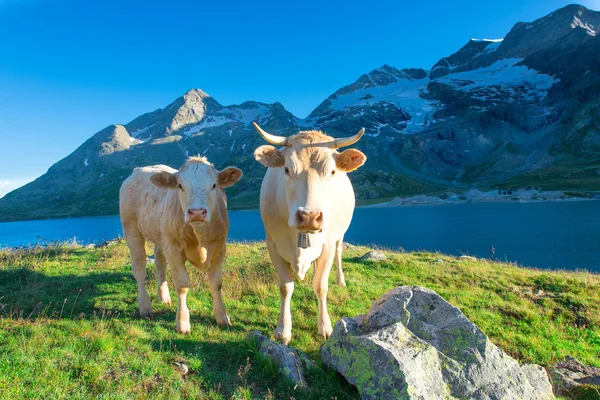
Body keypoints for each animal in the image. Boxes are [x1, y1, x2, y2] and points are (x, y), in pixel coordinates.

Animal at [250, 122, 364, 344]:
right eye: (286, 169)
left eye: (332, 171)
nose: (309, 216)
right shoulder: (273, 244)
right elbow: (286, 286)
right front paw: (283, 330)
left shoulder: (327, 245)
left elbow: (320, 286)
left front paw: (325, 327)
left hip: (339, 235)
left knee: (339, 253)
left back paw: (340, 280)